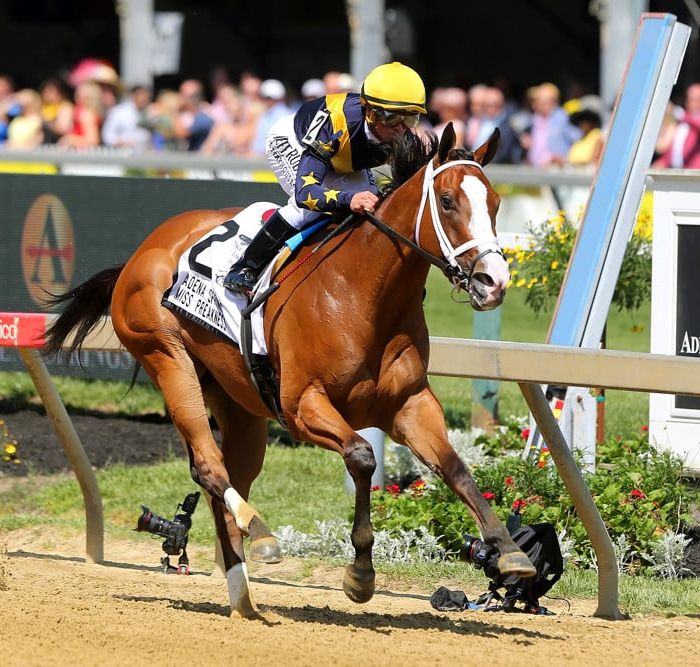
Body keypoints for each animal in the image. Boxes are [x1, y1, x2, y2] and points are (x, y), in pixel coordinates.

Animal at [45, 123, 535, 618]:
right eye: (449, 201)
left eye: (496, 203)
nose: (493, 283)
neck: (364, 293)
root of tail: (140, 253)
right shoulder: (302, 406)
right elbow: (362, 456)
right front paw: (360, 575)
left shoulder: (410, 404)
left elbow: (455, 468)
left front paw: (509, 551)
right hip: (166, 355)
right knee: (209, 466)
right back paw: (261, 535)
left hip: (238, 403)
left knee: (227, 475)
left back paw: (241, 594)